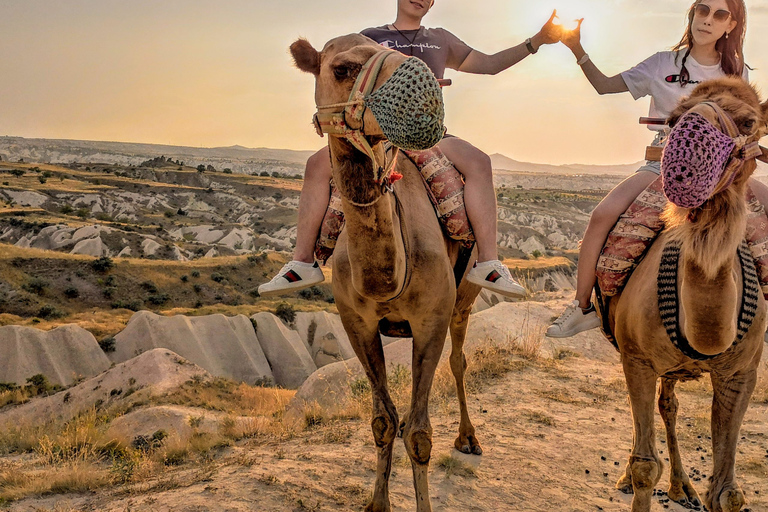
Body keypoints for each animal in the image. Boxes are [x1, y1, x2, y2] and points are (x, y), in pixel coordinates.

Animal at [292, 34, 484, 510]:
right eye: (341, 68)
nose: (426, 93)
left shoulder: (431, 320)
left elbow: (418, 432)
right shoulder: (356, 322)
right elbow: (383, 421)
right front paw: (377, 503)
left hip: (463, 299)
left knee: (459, 359)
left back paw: (468, 438)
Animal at [604, 76, 768, 512]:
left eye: (750, 122)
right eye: (673, 118)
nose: (683, 159)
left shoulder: (742, 372)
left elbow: (728, 492)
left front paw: (702, 488)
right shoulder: (637, 359)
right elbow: (645, 467)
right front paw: (635, 476)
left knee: (670, 405)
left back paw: (682, 488)